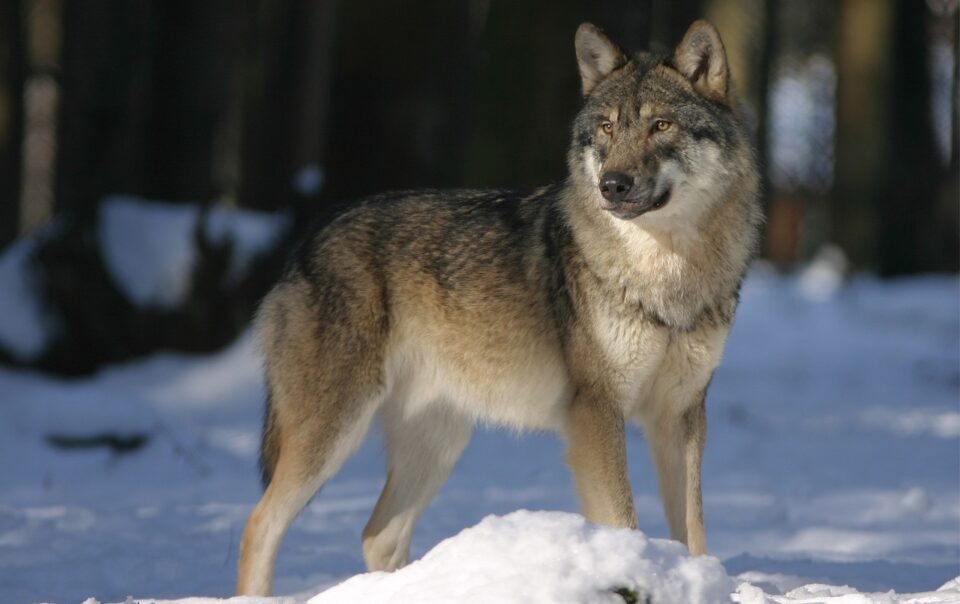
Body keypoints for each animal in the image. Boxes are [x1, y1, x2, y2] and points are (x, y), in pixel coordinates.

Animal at [236, 20, 762, 596]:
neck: (665, 275)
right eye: (606, 128)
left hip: (438, 443)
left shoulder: (681, 415)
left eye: (660, 125)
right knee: (260, 522)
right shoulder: (596, 413)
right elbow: (624, 520)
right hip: (333, 431)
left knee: (378, 534)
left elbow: (693, 532)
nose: (612, 185)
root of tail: (308, 238)